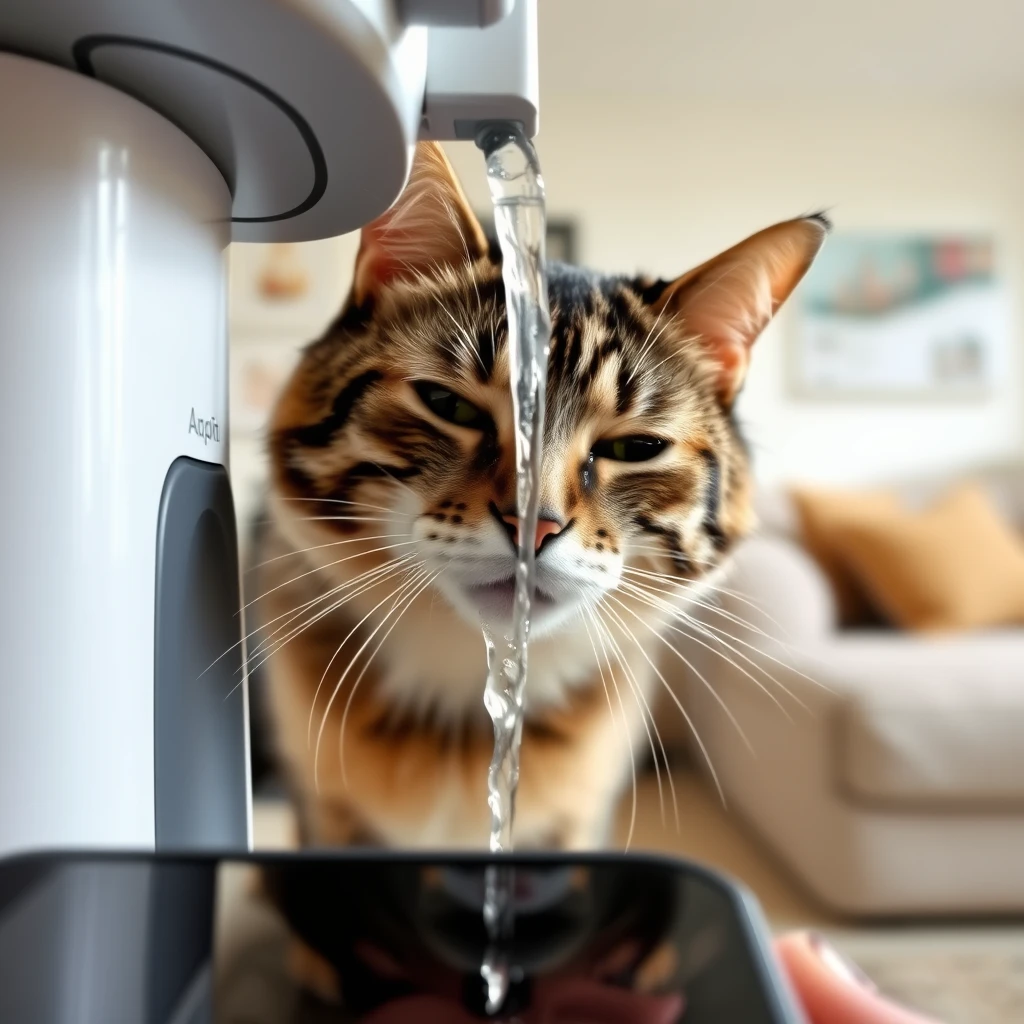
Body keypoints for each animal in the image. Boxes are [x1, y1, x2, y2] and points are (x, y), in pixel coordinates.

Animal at [251, 142, 827, 847]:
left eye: (634, 448)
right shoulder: (326, 814)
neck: (459, 718)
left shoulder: (575, 823)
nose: (534, 527)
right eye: (448, 406)